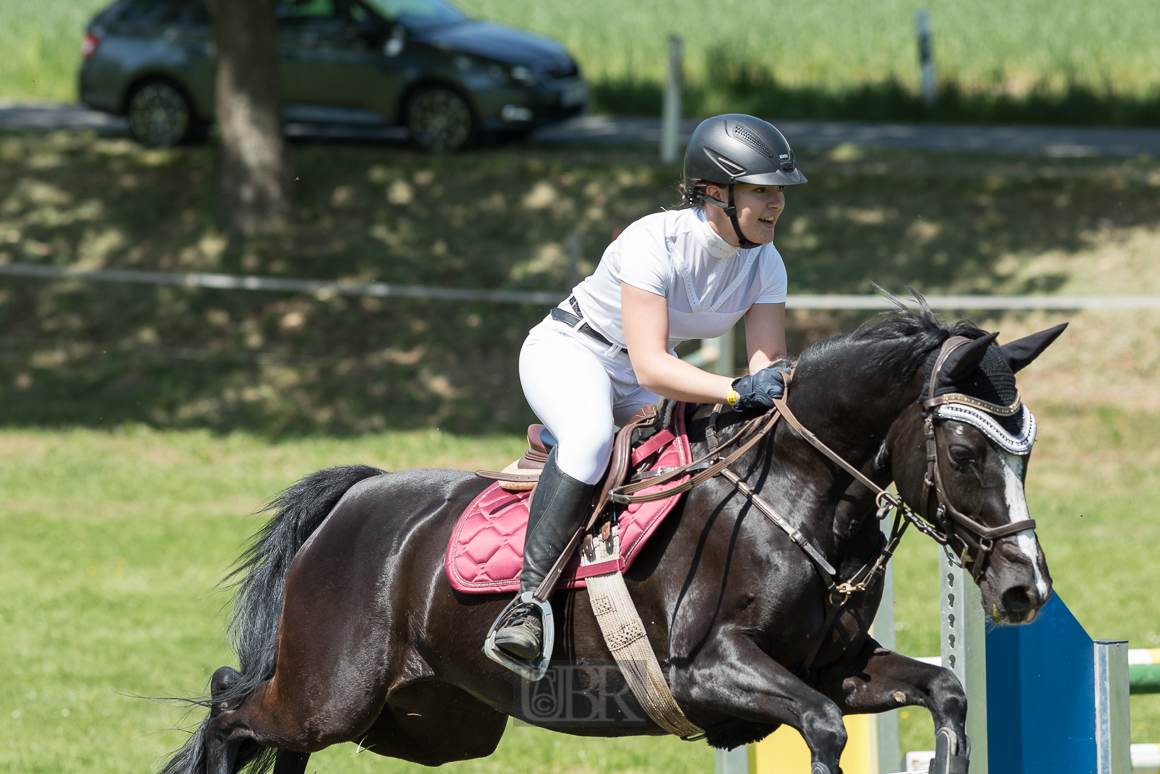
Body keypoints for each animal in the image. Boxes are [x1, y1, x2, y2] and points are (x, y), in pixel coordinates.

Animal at [158, 301, 1062, 774]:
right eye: (966, 451)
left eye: (1029, 448)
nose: (1025, 589)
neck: (796, 496)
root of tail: (355, 500)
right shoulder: (707, 670)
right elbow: (824, 728)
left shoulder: (833, 666)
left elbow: (944, 691)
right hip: (331, 695)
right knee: (231, 702)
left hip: (425, 722)